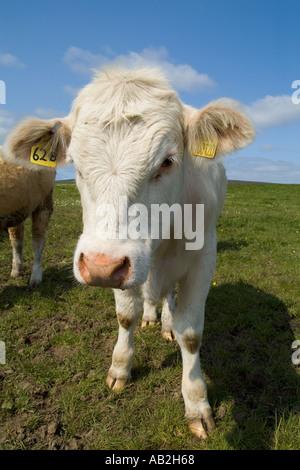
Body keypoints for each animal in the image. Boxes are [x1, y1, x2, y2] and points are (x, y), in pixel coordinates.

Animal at [3, 68, 254, 438]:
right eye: (75, 164)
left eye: (167, 161)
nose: (100, 267)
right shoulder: (125, 267)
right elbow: (126, 315)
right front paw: (120, 367)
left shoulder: (202, 259)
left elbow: (190, 334)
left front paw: (196, 402)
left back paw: (165, 321)